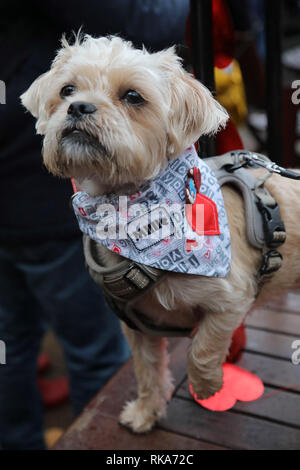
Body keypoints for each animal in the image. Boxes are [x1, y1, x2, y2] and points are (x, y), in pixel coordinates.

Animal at [21, 35, 300, 436]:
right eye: (67, 90)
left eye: (133, 96)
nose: (78, 106)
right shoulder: (138, 328)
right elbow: (147, 370)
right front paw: (146, 411)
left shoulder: (231, 301)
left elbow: (202, 349)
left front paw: (207, 387)